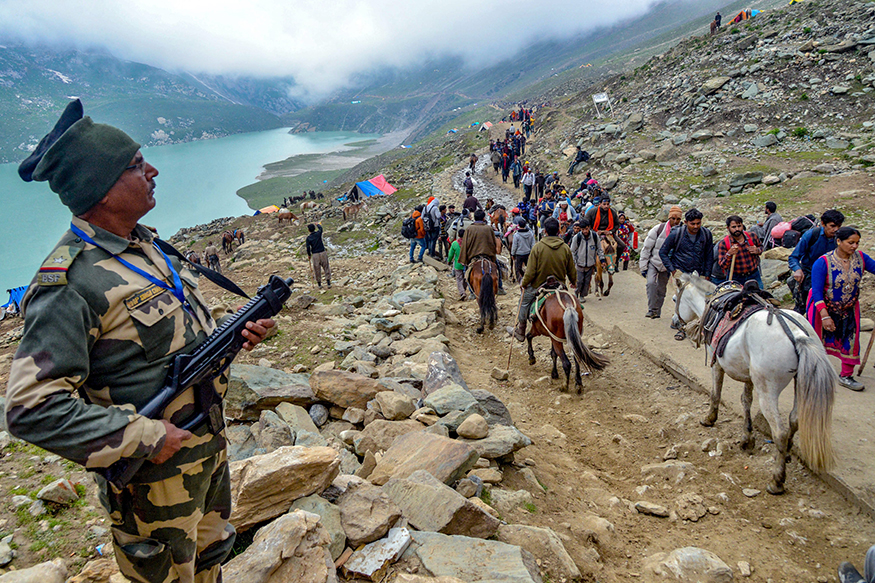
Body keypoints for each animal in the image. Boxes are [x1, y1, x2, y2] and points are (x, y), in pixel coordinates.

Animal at [676, 272, 840, 496]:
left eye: (674, 299)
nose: (675, 322)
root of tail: (797, 336)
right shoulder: (749, 376)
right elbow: (746, 401)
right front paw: (747, 439)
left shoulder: (716, 362)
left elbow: (716, 392)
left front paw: (709, 419)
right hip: (797, 383)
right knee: (794, 420)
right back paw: (786, 455)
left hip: (768, 390)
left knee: (779, 432)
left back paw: (777, 481)